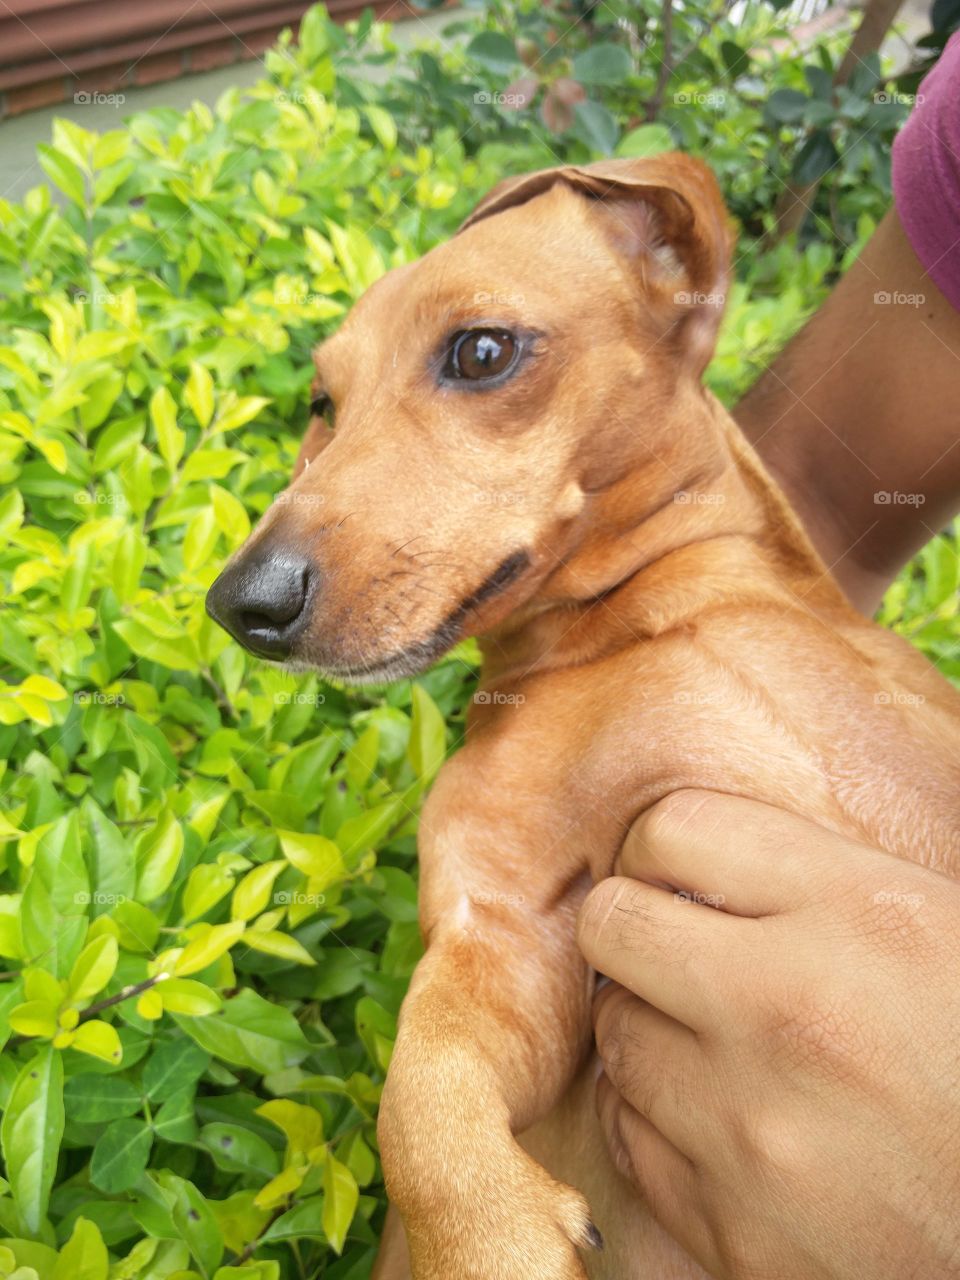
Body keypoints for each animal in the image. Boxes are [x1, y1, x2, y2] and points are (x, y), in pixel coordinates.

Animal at [207, 160, 960, 1280]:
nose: (239, 604)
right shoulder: (509, 937)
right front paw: (491, 1243)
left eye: (481, 351)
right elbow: (417, 1099)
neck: (629, 628)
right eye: (321, 403)